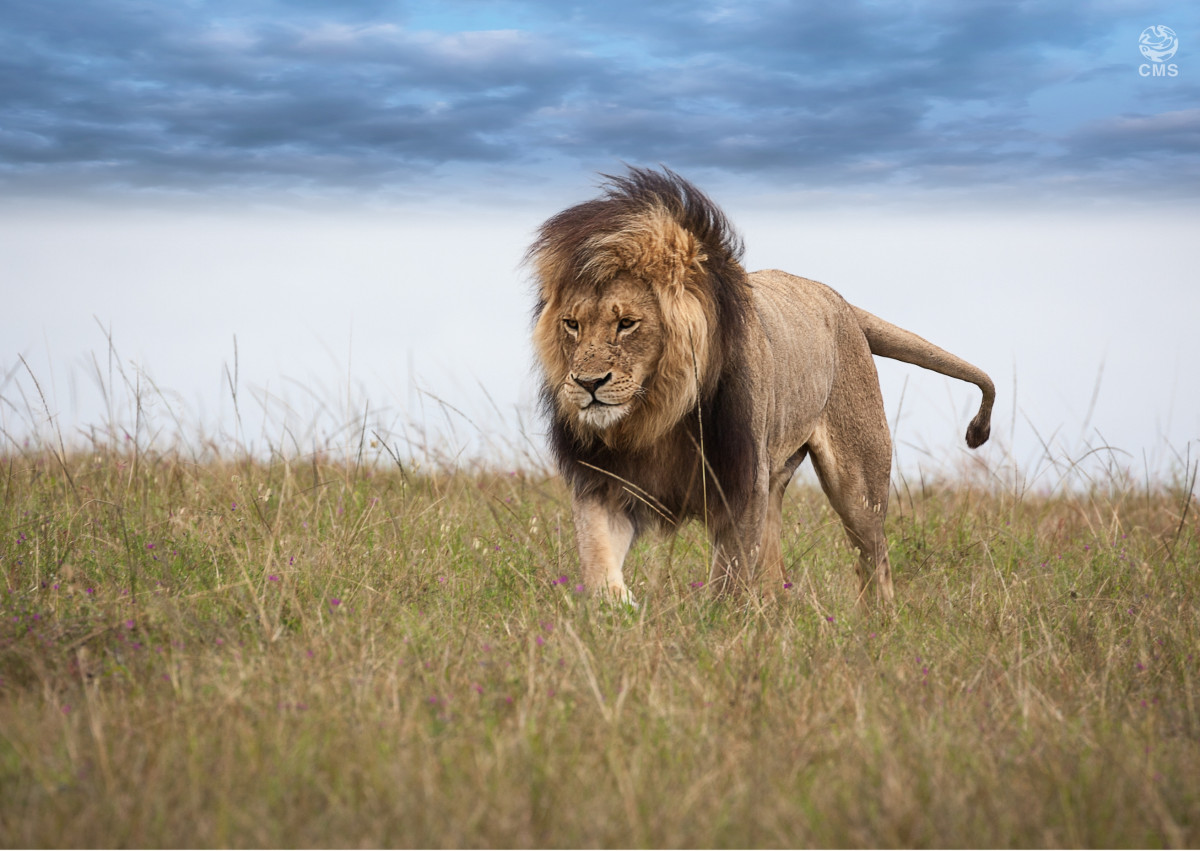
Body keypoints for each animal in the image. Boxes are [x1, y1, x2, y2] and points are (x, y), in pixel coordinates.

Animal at [529, 167, 994, 606]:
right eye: (572, 324)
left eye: (627, 323)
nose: (588, 383)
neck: (657, 414)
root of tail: (837, 298)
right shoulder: (603, 482)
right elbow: (596, 554)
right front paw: (616, 610)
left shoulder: (741, 485)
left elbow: (729, 577)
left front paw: (714, 625)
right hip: (777, 476)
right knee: (776, 567)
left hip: (859, 483)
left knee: (874, 558)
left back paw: (877, 621)